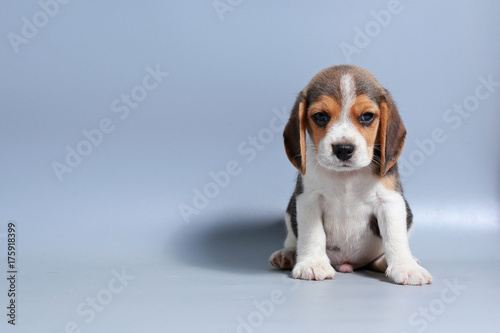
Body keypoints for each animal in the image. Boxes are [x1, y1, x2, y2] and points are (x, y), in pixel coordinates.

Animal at [272, 65, 432, 286]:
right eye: (320, 116)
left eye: (367, 116)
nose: (343, 149)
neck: (346, 177)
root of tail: (348, 265)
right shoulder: (308, 200)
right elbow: (312, 235)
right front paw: (312, 264)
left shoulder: (390, 201)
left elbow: (395, 237)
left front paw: (406, 268)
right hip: (290, 210)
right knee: (292, 238)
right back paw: (287, 255)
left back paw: (388, 261)